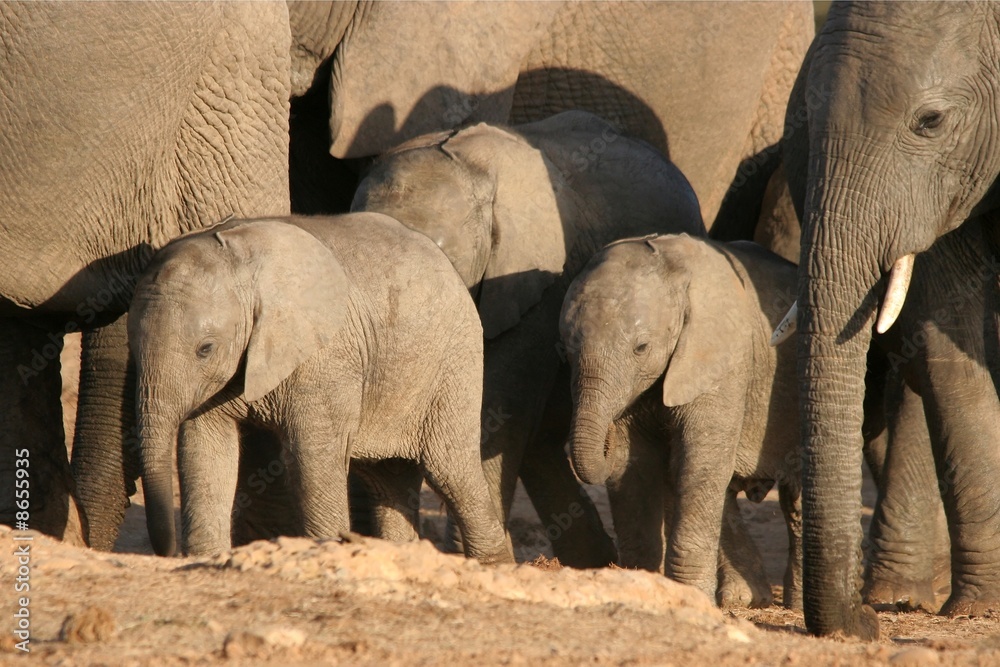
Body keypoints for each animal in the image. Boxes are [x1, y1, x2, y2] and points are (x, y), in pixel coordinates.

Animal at [127, 213, 512, 564]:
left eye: (205, 349)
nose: (166, 551)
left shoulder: (326, 357)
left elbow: (312, 457)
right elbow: (205, 449)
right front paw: (207, 558)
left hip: (453, 359)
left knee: (451, 469)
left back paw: (493, 565)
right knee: (388, 481)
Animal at [351, 110, 705, 566]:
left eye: (442, 261)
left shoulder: (537, 283)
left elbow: (499, 411)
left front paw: (468, 559)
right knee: (541, 442)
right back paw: (590, 561)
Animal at [560, 233, 803, 607]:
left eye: (641, 348)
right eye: (567, 348)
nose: (608, 432)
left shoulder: (723, 362)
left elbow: (700, 462)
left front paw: (690, 596)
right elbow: (636, 466)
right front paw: (642, 588)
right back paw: (744, 599)